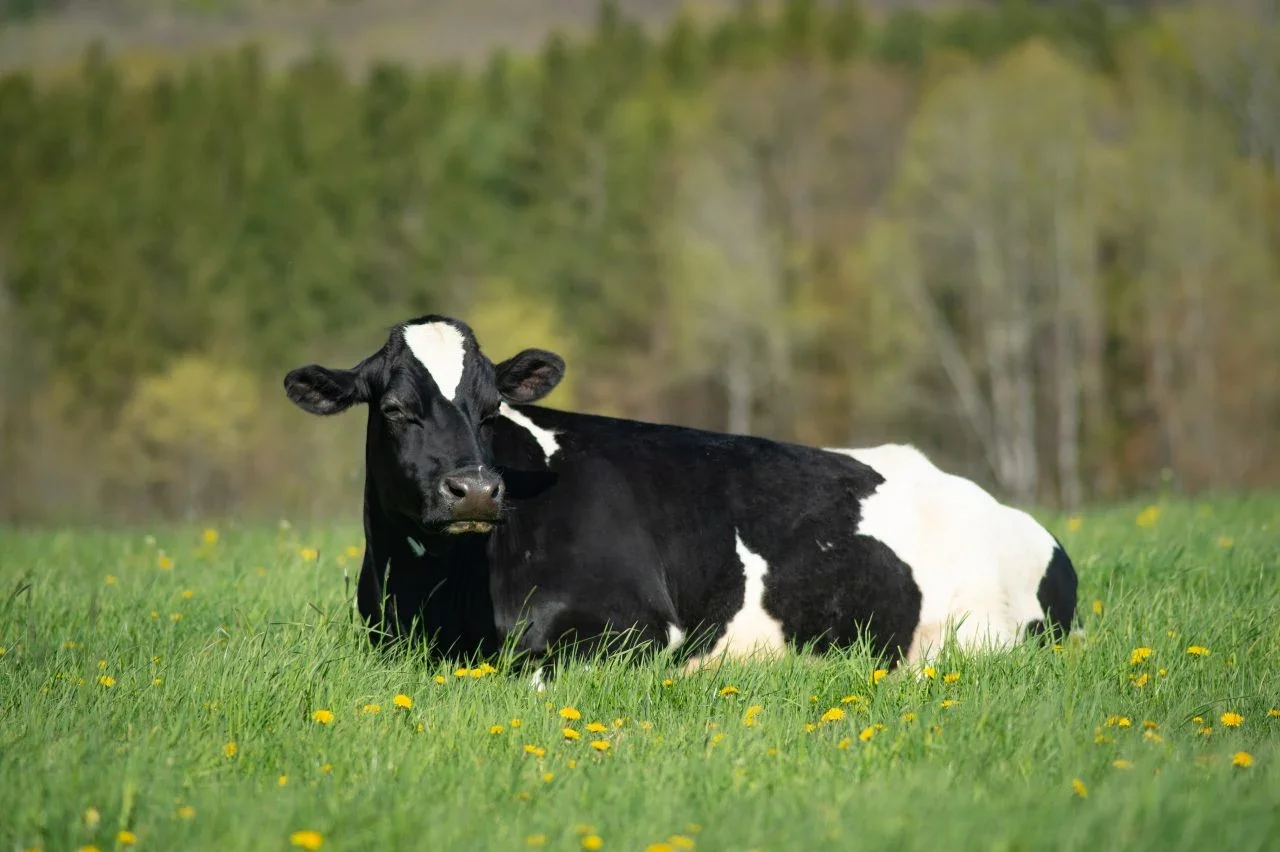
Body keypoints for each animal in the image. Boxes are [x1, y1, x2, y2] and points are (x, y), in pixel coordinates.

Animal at [283, 314, 1078, 683]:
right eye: (394, 410)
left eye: (488, 409)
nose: (475, 489)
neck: (446, 599)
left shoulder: (635, 626)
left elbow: (532, 667)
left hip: (983, 635)